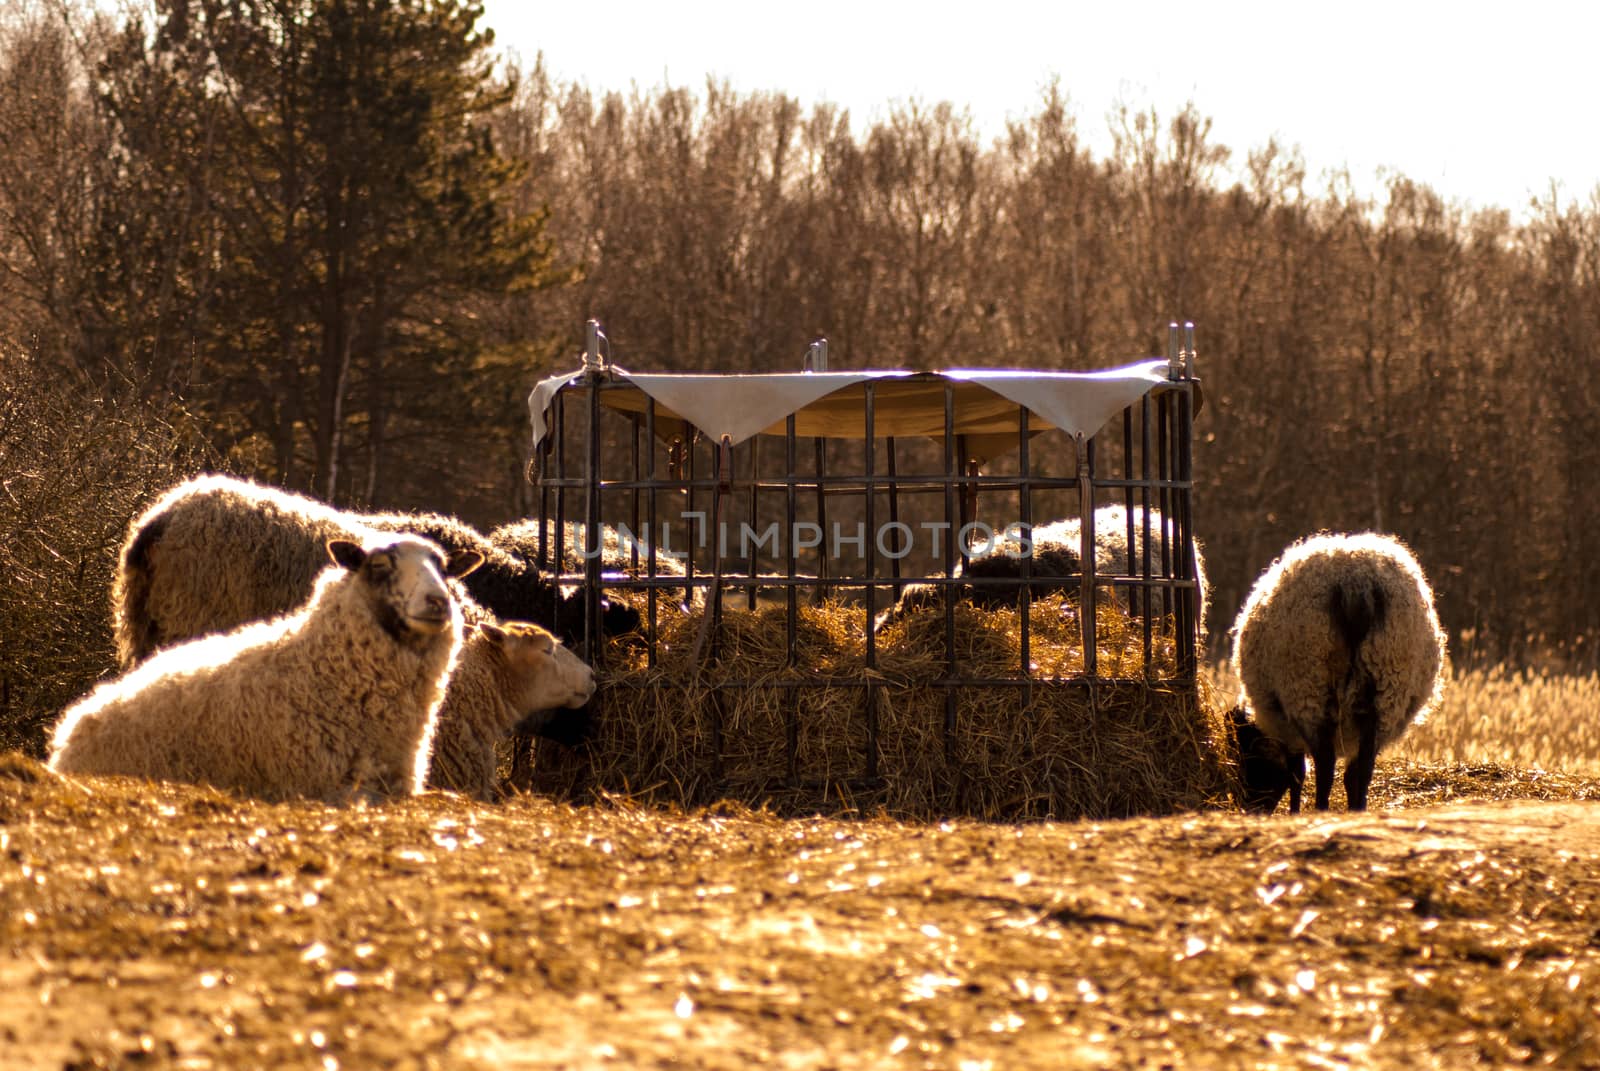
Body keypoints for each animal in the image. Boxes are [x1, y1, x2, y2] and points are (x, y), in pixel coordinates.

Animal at [1222, 531, 1452, 813]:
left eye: (1246, 760)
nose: (1249, 809)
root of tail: (1356, 583)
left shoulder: (1288, 720)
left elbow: (1297, 773)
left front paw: (1294, 811)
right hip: (1387, 686)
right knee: (1361, 770)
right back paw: (1358, 809)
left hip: (1308, 686)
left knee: (1325, 765)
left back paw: (1321, 808)